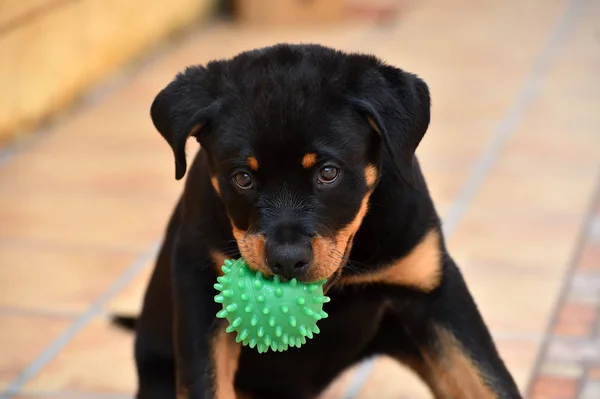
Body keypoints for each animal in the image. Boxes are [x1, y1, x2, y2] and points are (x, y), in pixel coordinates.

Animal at [115, 43, 524, 399]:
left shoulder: (432, 288)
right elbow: (205, 383)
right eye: (242, 178)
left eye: (328, 173)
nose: (286, 260)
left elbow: (487, 379)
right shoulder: (199, 287)